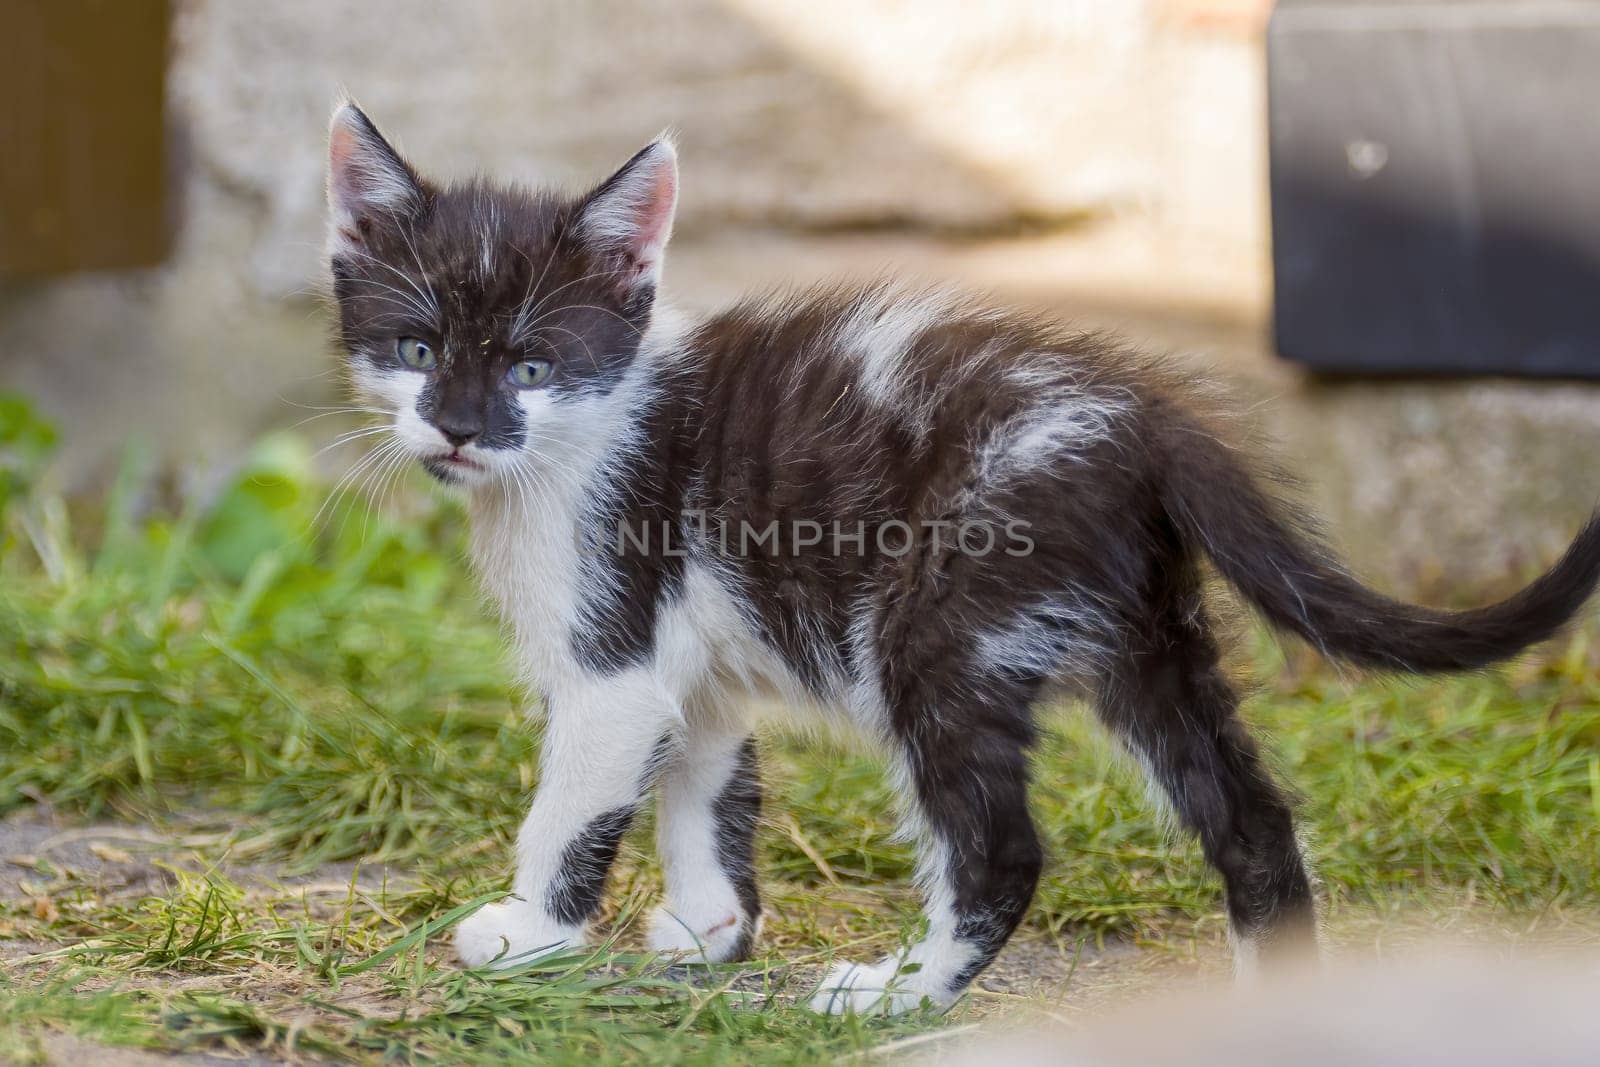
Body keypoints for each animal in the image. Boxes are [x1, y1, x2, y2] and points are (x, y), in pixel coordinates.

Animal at [321, 103, 1600, 1017]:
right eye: (416, 348)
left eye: (531, 366)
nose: (459, 427)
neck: (576, 443)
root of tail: (1146, 417)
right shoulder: (694, 656)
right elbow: (704, 775)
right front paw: (709, 925)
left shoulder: (614, 647)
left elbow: (578, 797)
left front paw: (529, 930)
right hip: (1142, 634)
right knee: (1249, 817)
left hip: (940, 624)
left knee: (1000, 845)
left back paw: (896, 991)